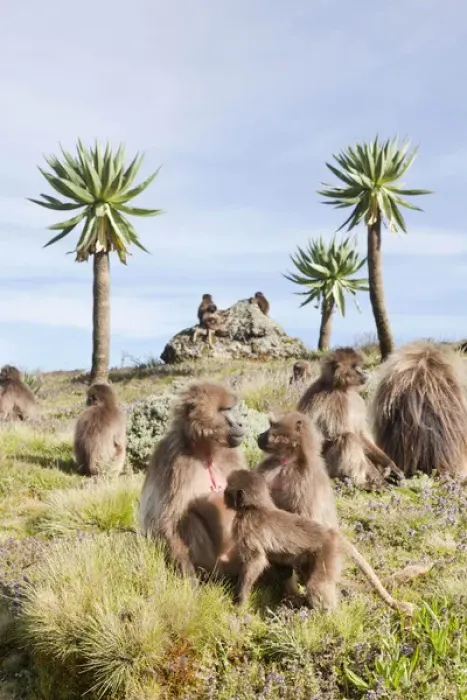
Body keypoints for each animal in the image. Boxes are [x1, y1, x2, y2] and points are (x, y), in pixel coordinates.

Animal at [138, 379, 247, 579]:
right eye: (225, 410)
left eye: (231, 408)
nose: (241, 424)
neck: (206, 451)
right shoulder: (173, 459)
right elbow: (163, 520)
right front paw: (188, 578)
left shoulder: (234, 454)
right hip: (215, 564)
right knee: (189, 517)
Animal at [224, 469, 341, 611]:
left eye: (227, 489)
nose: (223, 494)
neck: (255, 506)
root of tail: (330, 533)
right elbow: (282, 568)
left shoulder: (244, 524)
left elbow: (256, 560)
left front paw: (240, 600)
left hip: (327, 550)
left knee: (317, 584)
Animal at [254, 411, 414, 616]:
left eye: (272, 427)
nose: (259, 436)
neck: (289, 461)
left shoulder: (304, 483)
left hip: (327, 554)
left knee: (317, 581)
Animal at [297, 347, 404, 491]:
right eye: (354, 367)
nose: (363, 373)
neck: (340, 387)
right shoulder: (335, 401)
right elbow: (346, 434)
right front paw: (379, 480)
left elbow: (361, 434)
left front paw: (392, 467)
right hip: (328, 466)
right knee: (348, 437)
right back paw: (361, 482)